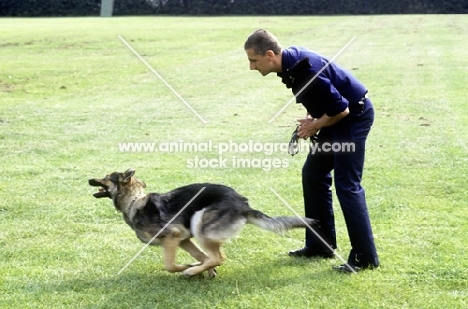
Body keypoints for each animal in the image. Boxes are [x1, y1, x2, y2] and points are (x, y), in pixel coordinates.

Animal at [88, 168, 318, 276]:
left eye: (106, 177)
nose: (88, 179)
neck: (134, 202)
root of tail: (243, 205)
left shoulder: (172, 236)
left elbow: (170, 265)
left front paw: (187, 267)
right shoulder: (183, 239)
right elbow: (201, 256)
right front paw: (203, 269)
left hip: (199, 222)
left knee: (220, 256)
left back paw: (191, 271)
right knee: (214, 256)